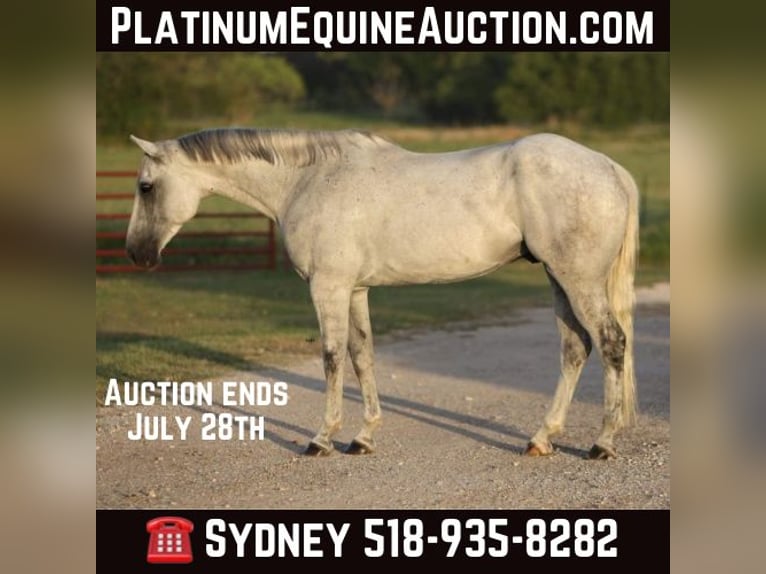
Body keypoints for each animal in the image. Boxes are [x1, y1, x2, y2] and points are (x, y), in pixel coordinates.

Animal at [126, 127, 639, 460]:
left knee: (611, 342)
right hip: (559, 278)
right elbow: (362, 355)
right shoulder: (355, 290)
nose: (136, 254)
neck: (309, 180)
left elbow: (332, 357)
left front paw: (322, 438)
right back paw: (541, 438)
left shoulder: (328, 287)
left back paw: (602, 443)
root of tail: (611, 168)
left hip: (578, 279)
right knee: (576, 348)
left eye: (146, 186)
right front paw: (363, 437)